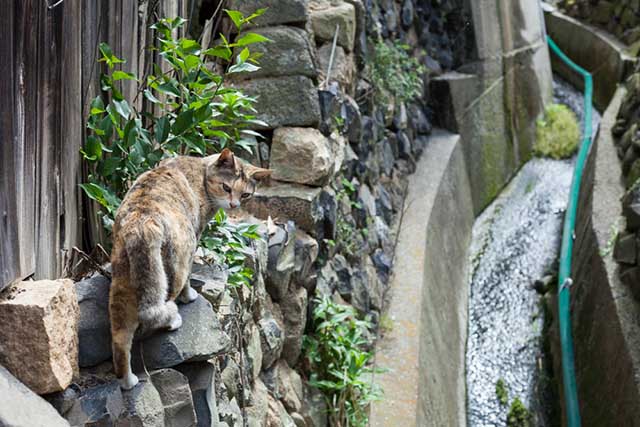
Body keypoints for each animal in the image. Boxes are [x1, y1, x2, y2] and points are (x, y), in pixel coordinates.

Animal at [110, 149, 270, 390]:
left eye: (245, 195)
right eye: (226, 188)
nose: (234, 205)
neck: (201, 169)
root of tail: (142, 224)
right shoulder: (196, 235)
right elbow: (189, 281)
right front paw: (191, 296)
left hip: (122, 283)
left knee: (121, 337)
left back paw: (128, 381)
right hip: (176, 264)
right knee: (158, 309)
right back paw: (174, 319)